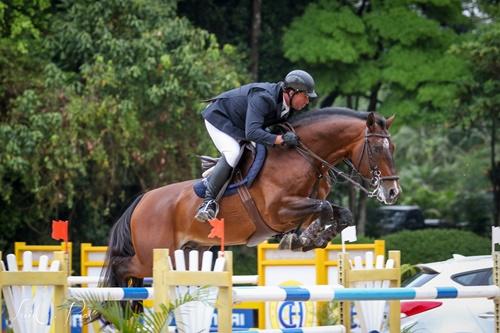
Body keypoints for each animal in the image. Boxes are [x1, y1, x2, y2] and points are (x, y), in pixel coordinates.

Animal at [99, 106, 400, 288]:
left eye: (393, 147)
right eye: (376, 148)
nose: (393, 192)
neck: (302, 158)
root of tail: (142, 201)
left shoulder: (306, 205)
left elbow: (338, 212)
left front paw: (308, 238)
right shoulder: (278, 212)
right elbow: (324, 208)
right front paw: (305, 239)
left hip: (190, 251)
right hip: (153, 254)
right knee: (122, 266)